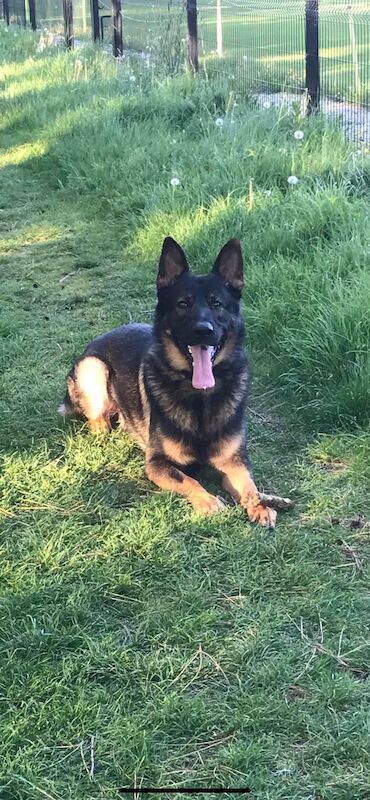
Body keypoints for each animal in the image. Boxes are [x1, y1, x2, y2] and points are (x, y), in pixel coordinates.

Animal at [59, 236, 276, 524]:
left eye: (217, 304)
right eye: (183, 304)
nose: (203, 331)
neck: (200, 400)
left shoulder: (234, 461)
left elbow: (250, 484)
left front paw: (259, 504)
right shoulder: (157, 464)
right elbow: (189, 480)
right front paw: (208, 501)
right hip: (93, 368)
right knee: (96, 416)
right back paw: (104, 427)